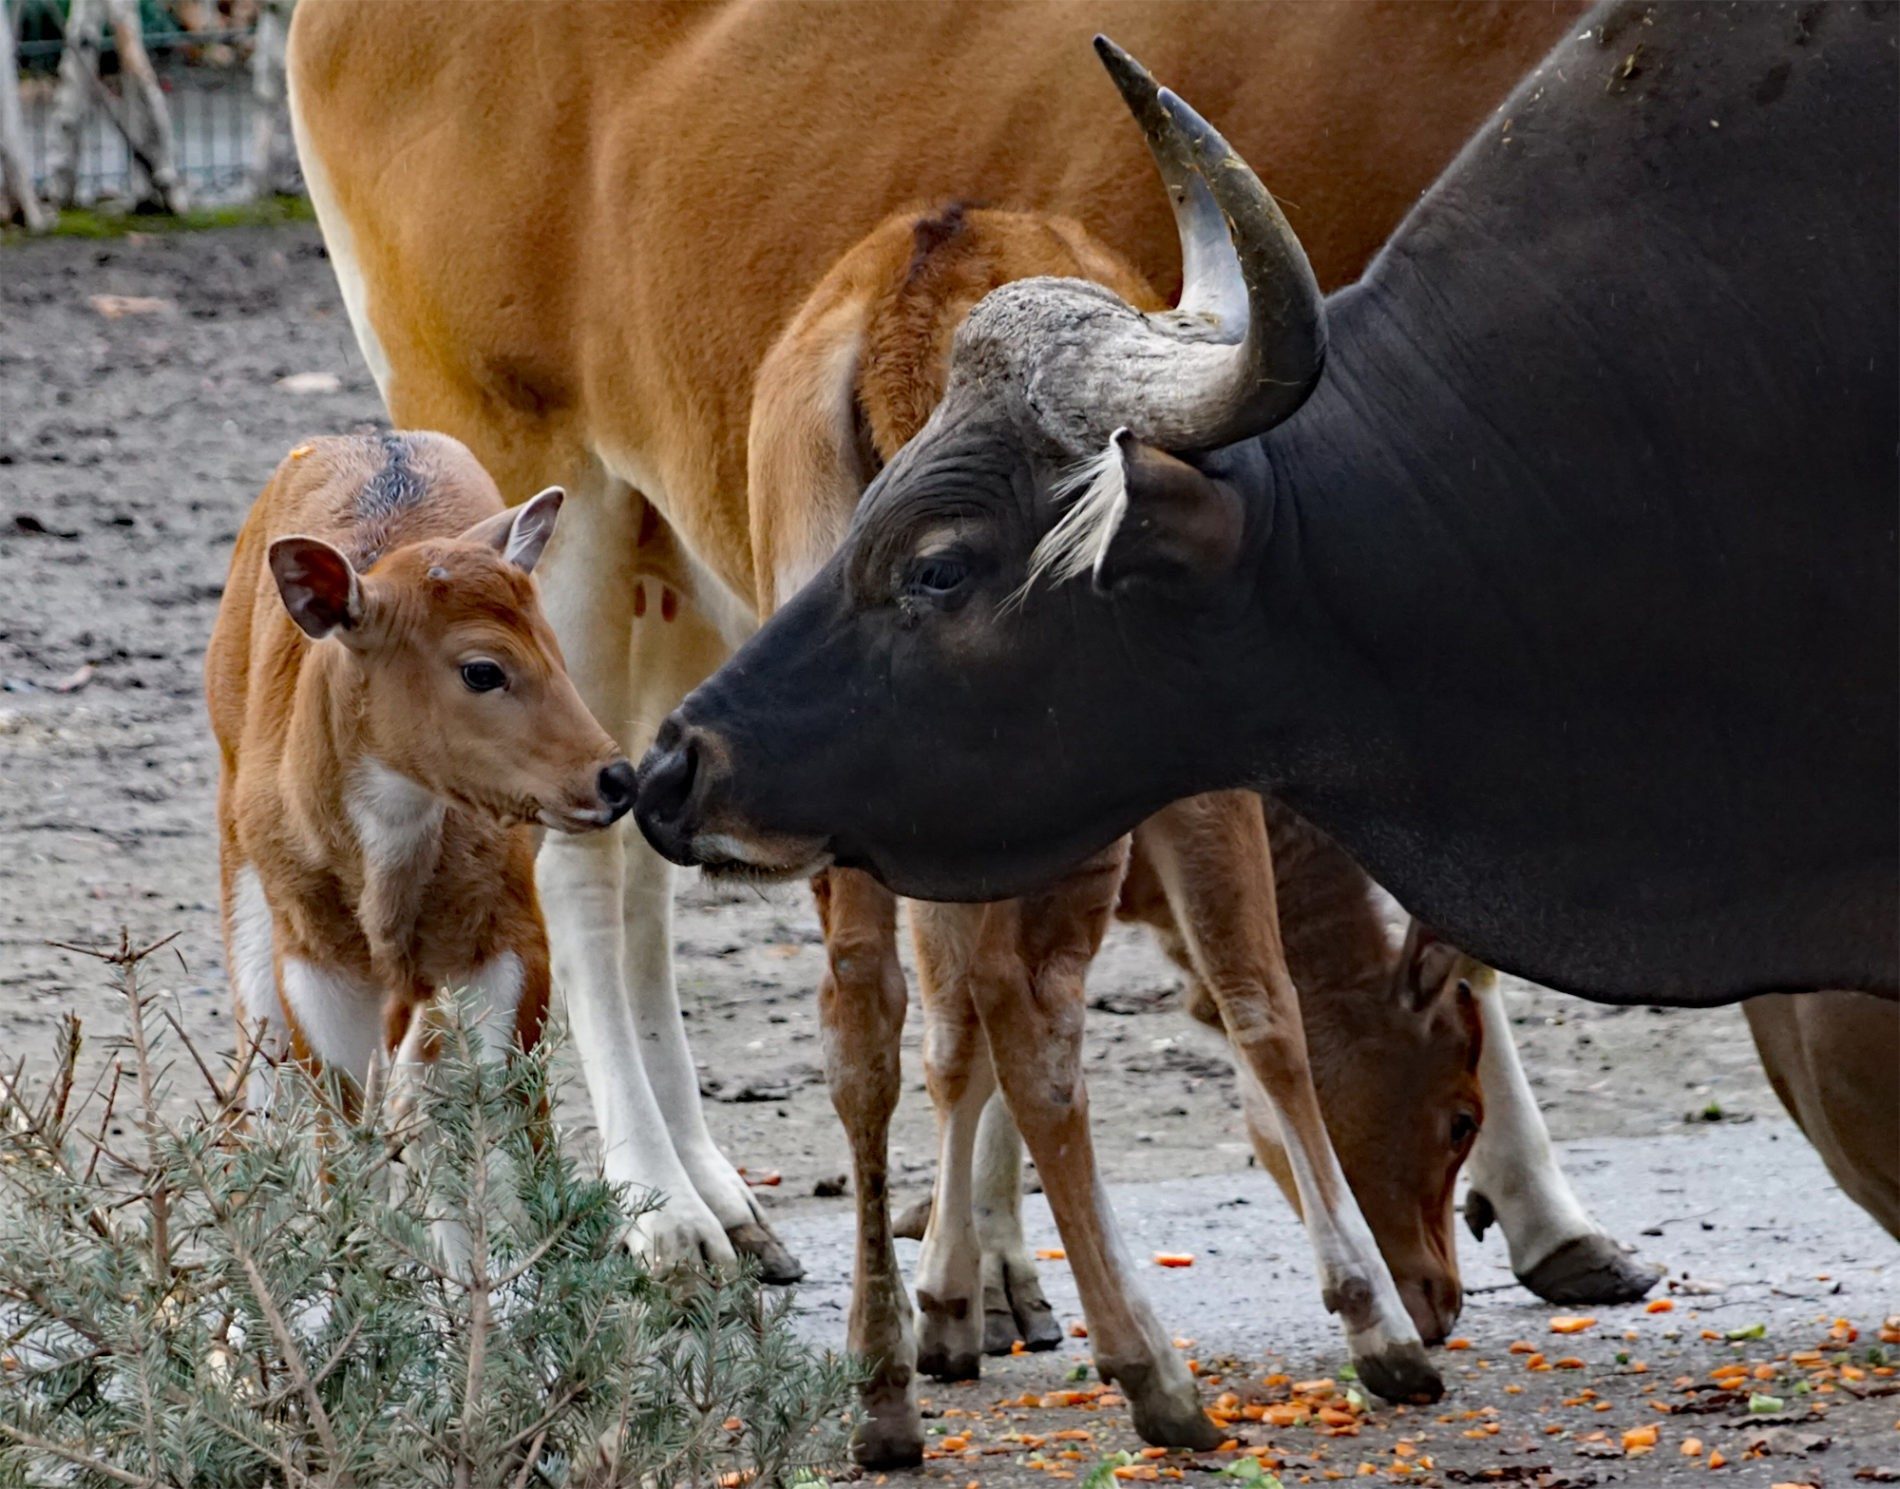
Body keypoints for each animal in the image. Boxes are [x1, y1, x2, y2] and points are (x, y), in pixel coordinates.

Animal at [209, 431, 630, 1131]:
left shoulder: (506, 928)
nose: (615, 776)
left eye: (555, 649)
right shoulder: (312, 954)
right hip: (238, 840)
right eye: (483, 669)